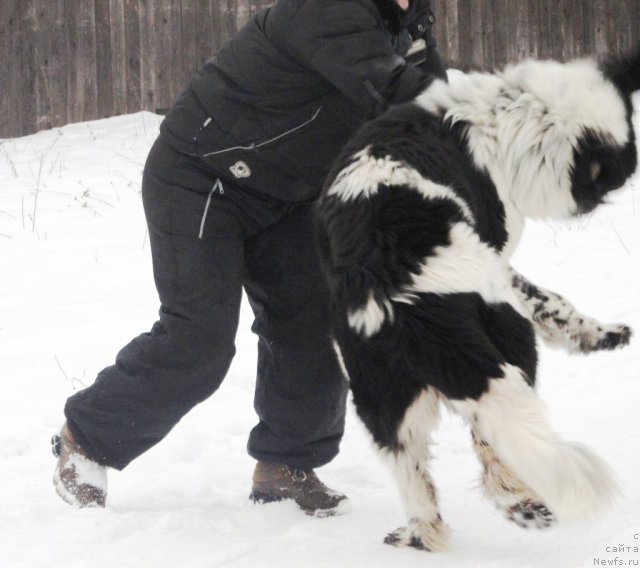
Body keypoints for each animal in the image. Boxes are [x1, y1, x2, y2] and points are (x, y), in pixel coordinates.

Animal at [318, 50, 640, 552]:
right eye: (614, 174)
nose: (602, 199)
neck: (511, 114)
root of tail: (391, 285)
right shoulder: (501, 260)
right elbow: (552, 301)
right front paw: (604, 335)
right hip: (505, 339)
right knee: (497, 437)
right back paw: (523, 502)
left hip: (383, 393)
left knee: (416, 475)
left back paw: (424, 533)